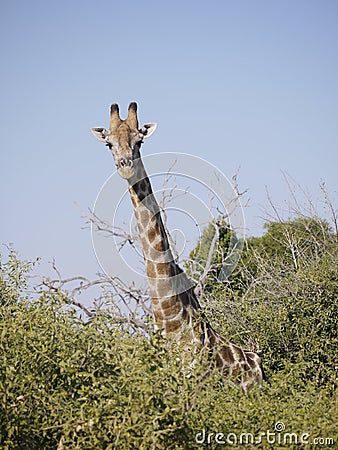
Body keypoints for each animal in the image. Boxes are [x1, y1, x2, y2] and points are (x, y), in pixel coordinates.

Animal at [90, 102, 264, 390]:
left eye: (139, 141)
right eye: (109, 144)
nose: (125, 166)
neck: (169, 317)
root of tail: (257, 362)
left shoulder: (193, 383)